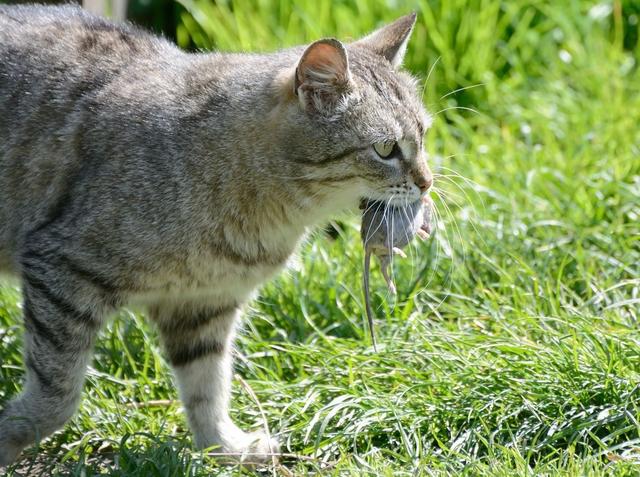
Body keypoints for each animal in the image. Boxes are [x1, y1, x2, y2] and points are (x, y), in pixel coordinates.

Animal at [0, 4, 432, 464]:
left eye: (423, 136)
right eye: (386, 149)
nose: (427, 182)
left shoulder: (204, 304)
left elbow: (207, 387)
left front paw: (223, 446)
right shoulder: (63, 269)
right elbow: (57, 396)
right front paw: (11, 433)